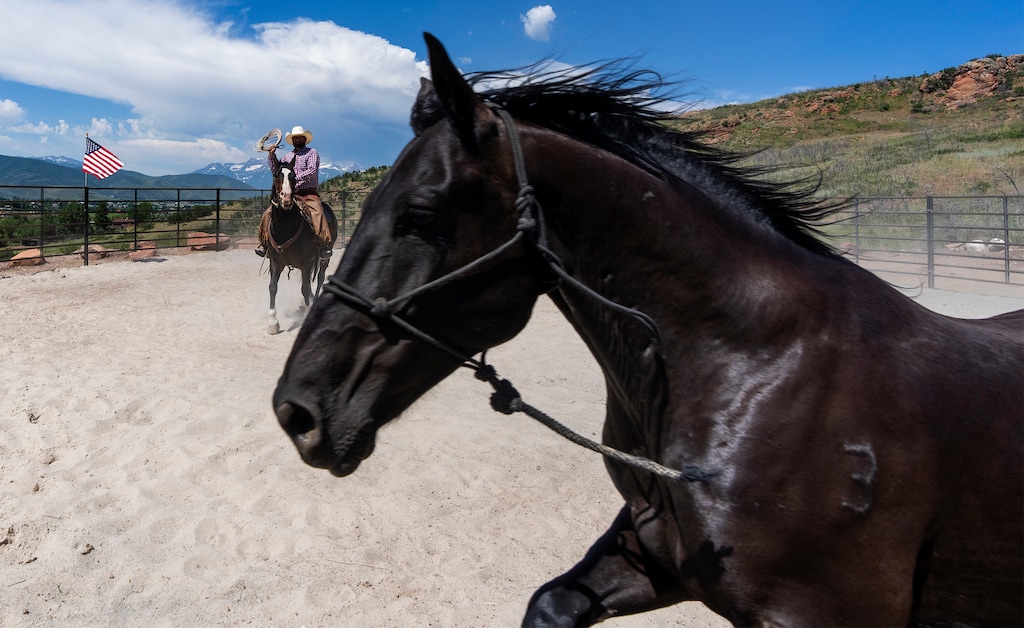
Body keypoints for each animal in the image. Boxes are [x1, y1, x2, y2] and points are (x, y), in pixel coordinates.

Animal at [263, 164, 338, 334]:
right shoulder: (276, 262)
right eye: (276, 175)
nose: (286, 198)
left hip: (325, 257)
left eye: (293, 176)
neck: (285, 230)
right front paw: (273, 322)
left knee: (320, 278)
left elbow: (304, 287)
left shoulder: (305, 263)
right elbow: (272, 287)